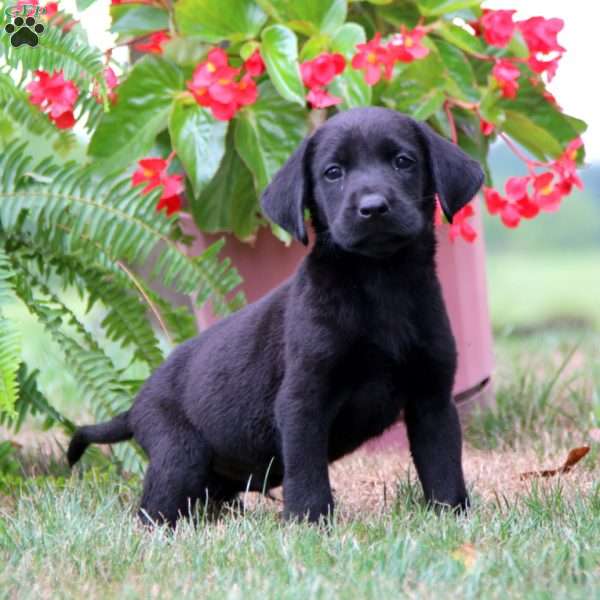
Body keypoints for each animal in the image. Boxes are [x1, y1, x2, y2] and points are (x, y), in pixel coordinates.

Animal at [69, 108, 482, 524]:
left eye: (403, 161)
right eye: (333, 172)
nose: (373, 208)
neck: (381, 282)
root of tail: (135, 406)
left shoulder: (433, 399)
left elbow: (443, 467)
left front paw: (451, 517)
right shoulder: (302, 400)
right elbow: (307, 473)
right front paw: (309, 522)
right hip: (179, 457)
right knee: (153, 512)